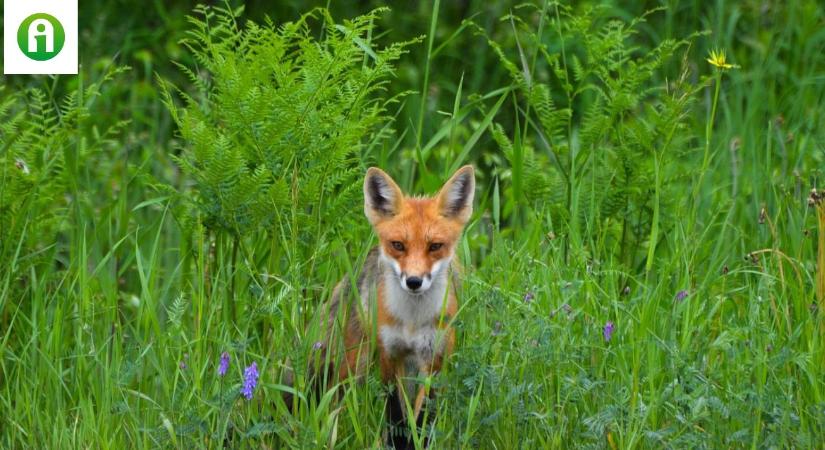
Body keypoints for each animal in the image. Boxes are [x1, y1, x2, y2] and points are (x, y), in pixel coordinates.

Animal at [314, 165, 474, 432]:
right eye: (398, 245)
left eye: (435, 246)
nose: (414, 281)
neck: (412, 321)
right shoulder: (390, 355)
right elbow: (396, 416)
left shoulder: (433, 361)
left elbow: (422, 419)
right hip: (354, 364)